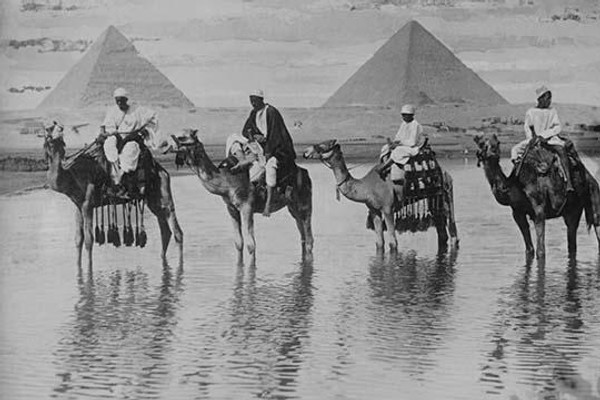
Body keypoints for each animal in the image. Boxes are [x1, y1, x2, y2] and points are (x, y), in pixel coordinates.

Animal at [43, 127, 183, 268]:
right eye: (48, 137)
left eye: (60, 140)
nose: (58, 130)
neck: (73, 176)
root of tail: (161, 170)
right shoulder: (78, 205)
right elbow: (78, 239)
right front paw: (78, 267)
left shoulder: (88, 205)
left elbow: (89, 239)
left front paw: (89, 269)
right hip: (154, 200)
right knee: (165, 231)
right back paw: (163, 260)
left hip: (165, 194)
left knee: (177, 231)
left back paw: (180, 265)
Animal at [171, 129, 314, 266]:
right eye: (180, 138)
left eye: (185, 138)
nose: (173, 145)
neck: (226, 181)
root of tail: (305, 173)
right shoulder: (231, 208)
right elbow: (238, 243)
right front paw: (240, 266)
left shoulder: (247, 206)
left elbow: (251, 245)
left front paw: (250, 270)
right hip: (292, 207)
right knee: (302, 234)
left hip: (305, 203)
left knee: (309, 238)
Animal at [304, 141, 460, 252]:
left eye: (322, 145)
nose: (305, 152)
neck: (367, 186)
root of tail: (445, 172)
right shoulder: (374, 210)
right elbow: (379, 242)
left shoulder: (387, 208)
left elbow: (393, 243)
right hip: (433, 198)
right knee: (441, 227)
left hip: (446, 193)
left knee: (451, 225)